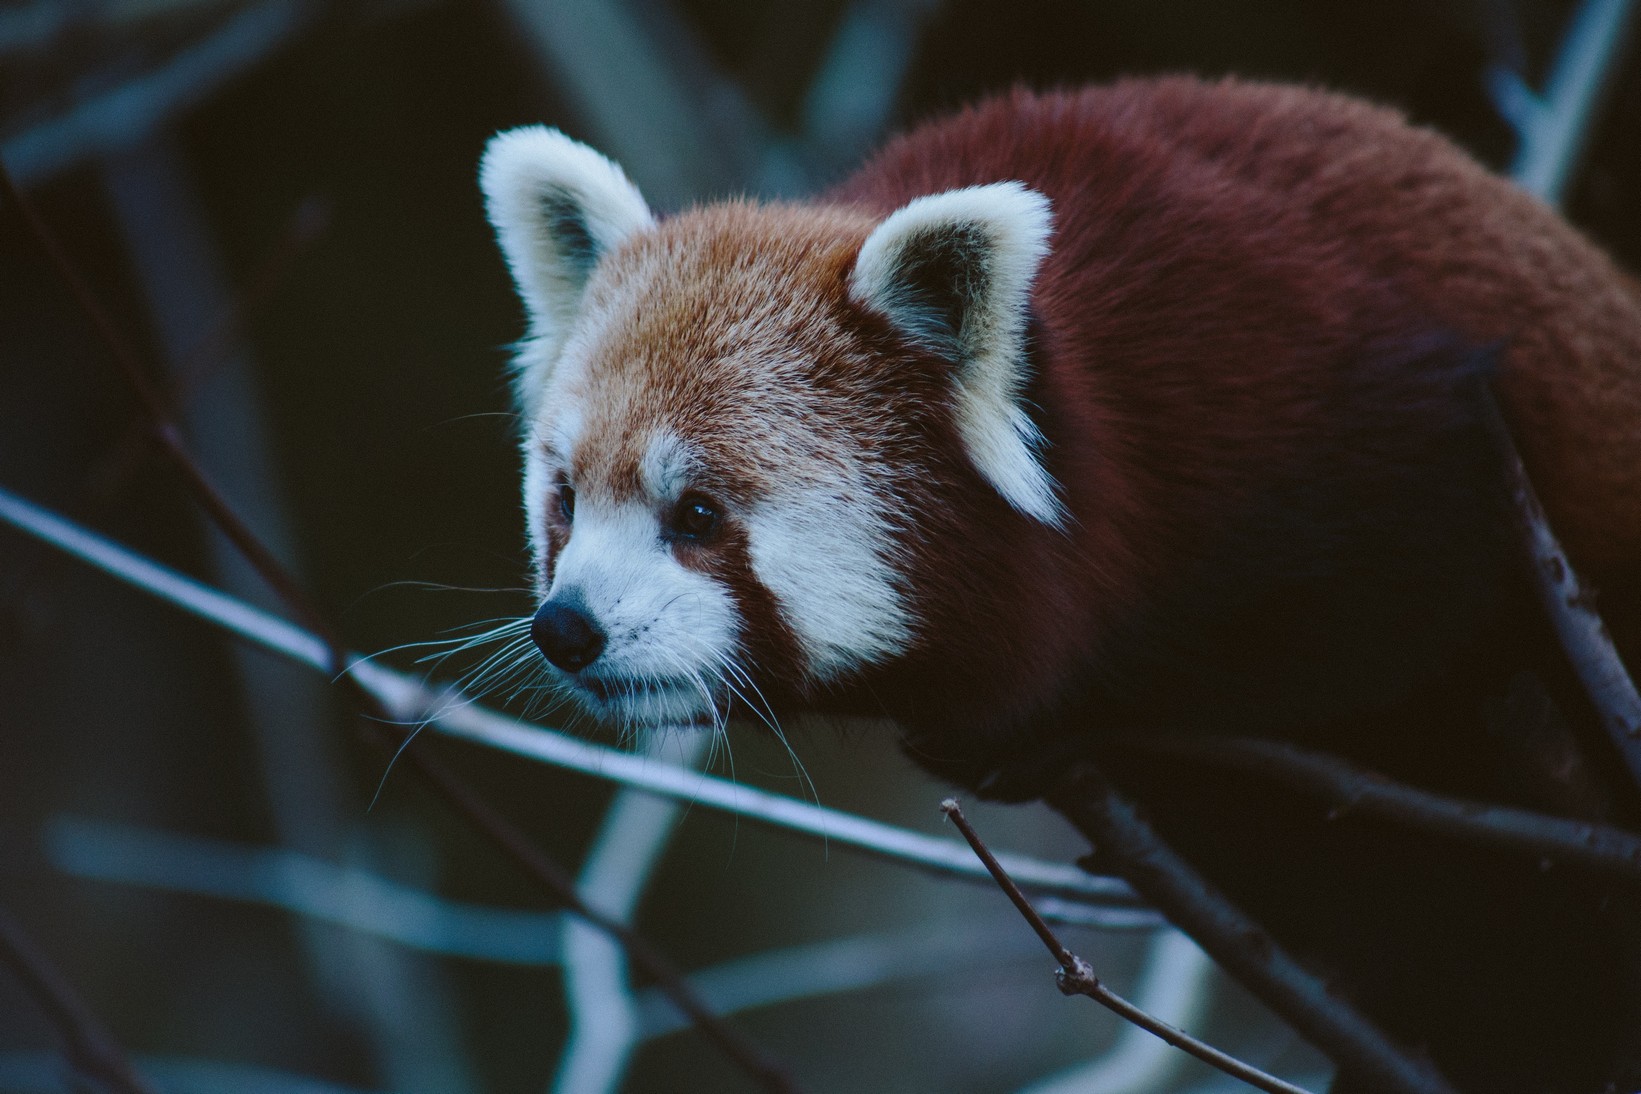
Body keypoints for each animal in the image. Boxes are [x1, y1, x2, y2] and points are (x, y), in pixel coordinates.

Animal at [479, 79, 1641, 1094]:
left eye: (698, 515)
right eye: (567, 501)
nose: (566, 627)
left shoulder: (1363, 430)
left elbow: (1397, 624)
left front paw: (1057, 719)